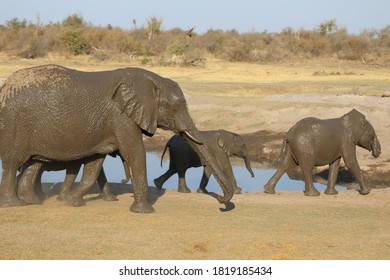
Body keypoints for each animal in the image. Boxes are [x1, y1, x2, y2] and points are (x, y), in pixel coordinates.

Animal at [0, 65, 235, 212]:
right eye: (176, 107)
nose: (220, 200)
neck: (150, 81)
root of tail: (4, 87)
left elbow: (95, 162)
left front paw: (74, 203)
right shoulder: (121, 117)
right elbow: (135, 153)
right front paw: (144, 211)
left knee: (34, 163)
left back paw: (33, 202)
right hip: (14, 123)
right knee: (13, 163)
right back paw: (15, 204)